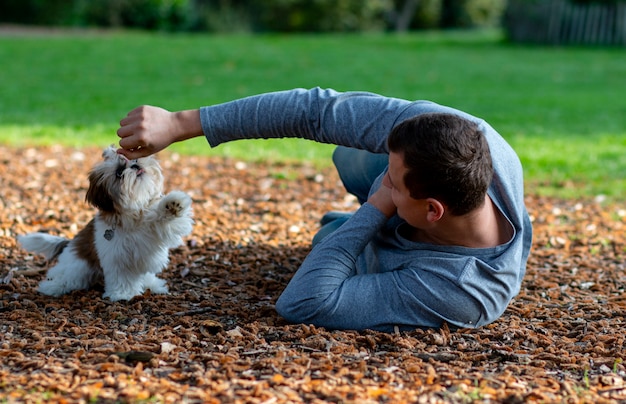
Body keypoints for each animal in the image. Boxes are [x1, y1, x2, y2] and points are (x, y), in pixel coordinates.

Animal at [18, 145, 193, 300]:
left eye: (135, 159)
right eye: (119, 172)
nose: (135, 165)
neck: (134, 215)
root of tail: (68, 245)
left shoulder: (155, 229)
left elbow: (168, 221)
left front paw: (173, 205)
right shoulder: (117, 255)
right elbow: (122, 275)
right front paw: (123, 294)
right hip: (78, 265)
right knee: (69, 276)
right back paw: (53, 285)